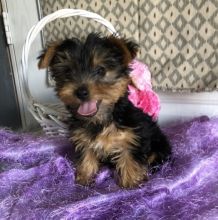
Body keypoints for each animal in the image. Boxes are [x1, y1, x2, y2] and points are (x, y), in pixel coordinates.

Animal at [37, 33, 171, 188]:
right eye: (68, 72)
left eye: (100, 70)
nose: (81, 92)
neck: (100, 120)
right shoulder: (83, 138)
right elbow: (86, 155)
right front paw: (84, 177)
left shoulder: (133, 136)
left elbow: (129, 157)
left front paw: (132, 181)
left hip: (158, 143)